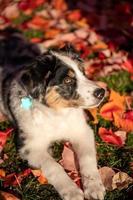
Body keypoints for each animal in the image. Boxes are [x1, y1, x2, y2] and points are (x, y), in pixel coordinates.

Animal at [0, 27, 106, 200]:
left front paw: (94, 187)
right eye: (68, 80)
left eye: (83, 72)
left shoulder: (82, 131)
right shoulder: (29, 146)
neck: (56, 115)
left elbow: (87, 157)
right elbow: (53, 166)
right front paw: (72, 192)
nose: (101, 92)